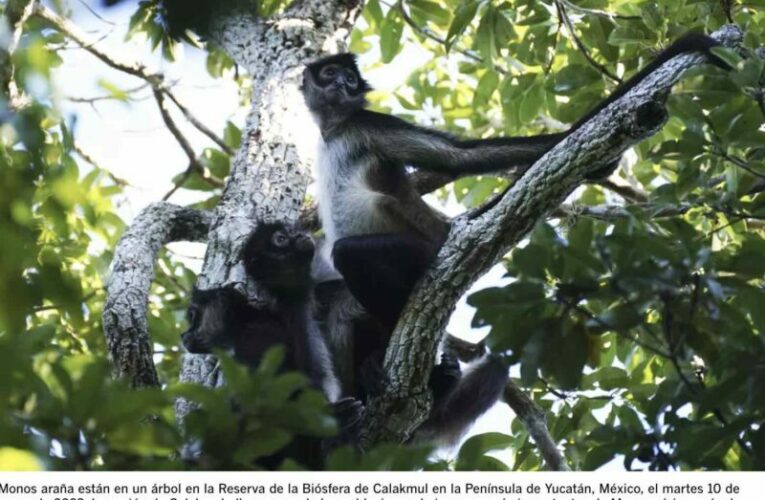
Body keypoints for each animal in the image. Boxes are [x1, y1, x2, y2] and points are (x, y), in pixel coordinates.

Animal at [300, 35, 728, 328]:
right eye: (330, 73)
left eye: (351, 79)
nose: (341, 84)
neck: (336, 129)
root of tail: (445, 228)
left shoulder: (369, 125)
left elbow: (459, 157)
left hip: (423, 247)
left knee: (351, 251)